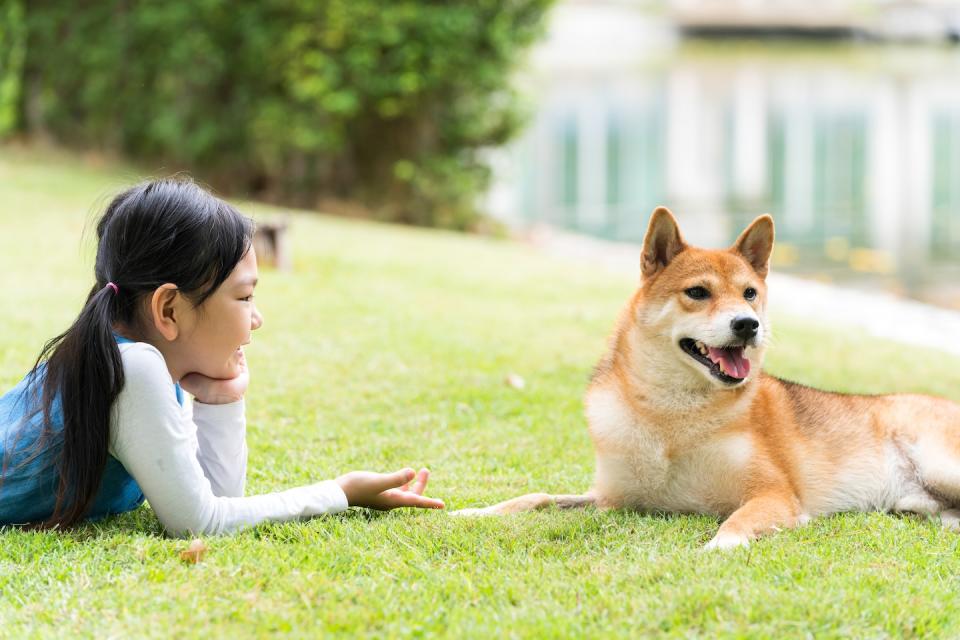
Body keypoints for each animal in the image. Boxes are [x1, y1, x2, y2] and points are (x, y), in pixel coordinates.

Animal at [454, 208, 960, 548]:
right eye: (698, 292)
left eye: (750, 294)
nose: (747, 325)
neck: (670, 419)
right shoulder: (612, 498)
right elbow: (534, 497)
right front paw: (476, 511)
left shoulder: (773, 494)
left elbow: (734, 523)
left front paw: (717, 548)